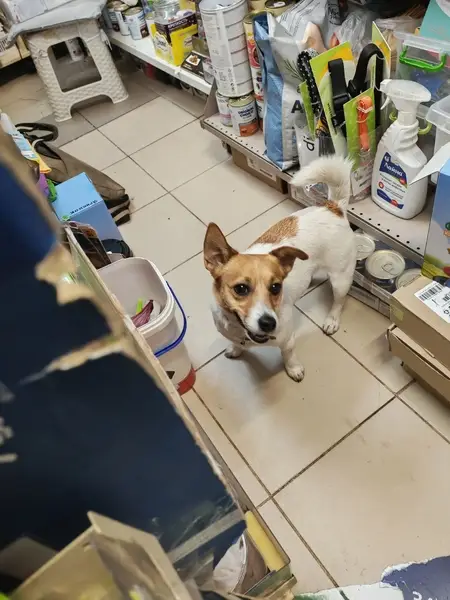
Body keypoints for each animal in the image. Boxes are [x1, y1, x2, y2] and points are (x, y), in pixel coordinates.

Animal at [203, 155, 356, 382]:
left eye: (276, 287)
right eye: (241, 289)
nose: (269, 323)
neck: (243, 331)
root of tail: (333, 207)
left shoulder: (287, 339)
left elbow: (288, 353)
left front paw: (293, 368)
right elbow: (235, 344)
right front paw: (236, 349)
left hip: (340, 278)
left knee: (339, 300)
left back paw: (332, 320)